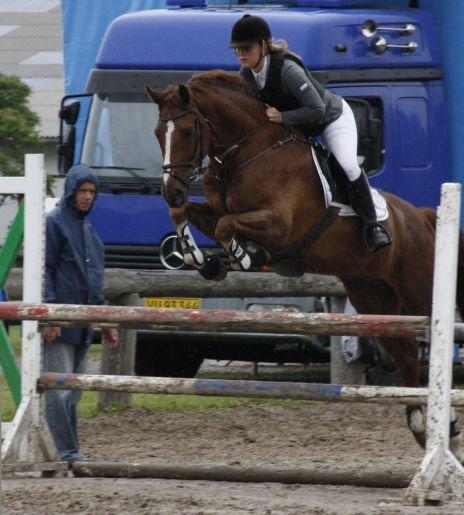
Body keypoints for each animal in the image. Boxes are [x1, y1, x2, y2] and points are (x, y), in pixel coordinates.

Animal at [147, 70, 464, 462]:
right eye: (158, 133)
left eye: (187, 132)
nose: (170, 191)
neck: (247, 152)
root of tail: (421, 217)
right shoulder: (216, 209)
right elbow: (187, 216)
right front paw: (204, 262)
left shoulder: (278, 224)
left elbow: (226, 228)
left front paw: (244, 256)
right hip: (372, 295)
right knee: (404, 354)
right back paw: (424, 426)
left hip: (419, 290)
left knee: (434, 343)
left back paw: (443, 424)